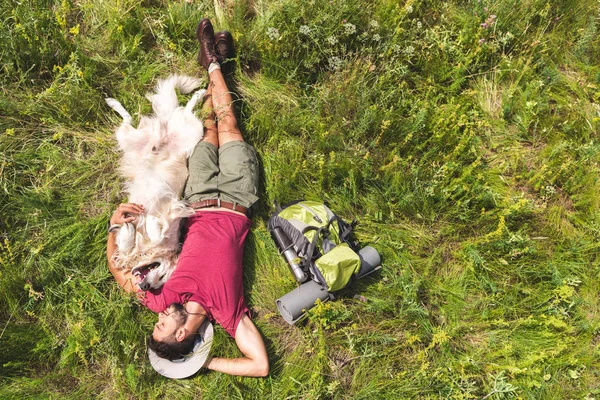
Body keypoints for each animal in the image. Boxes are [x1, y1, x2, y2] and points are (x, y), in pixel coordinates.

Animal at [104, 76, 205, 290]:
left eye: (161, 281)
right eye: (162, 274)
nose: (145, 287)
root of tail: (164, 129)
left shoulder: (174, 211)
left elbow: (153, 232)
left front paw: (146, 225)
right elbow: (129, 242)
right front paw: (134, 229)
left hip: (184, 133)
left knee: (180, 111)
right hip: (183, 131)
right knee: (182, 110)